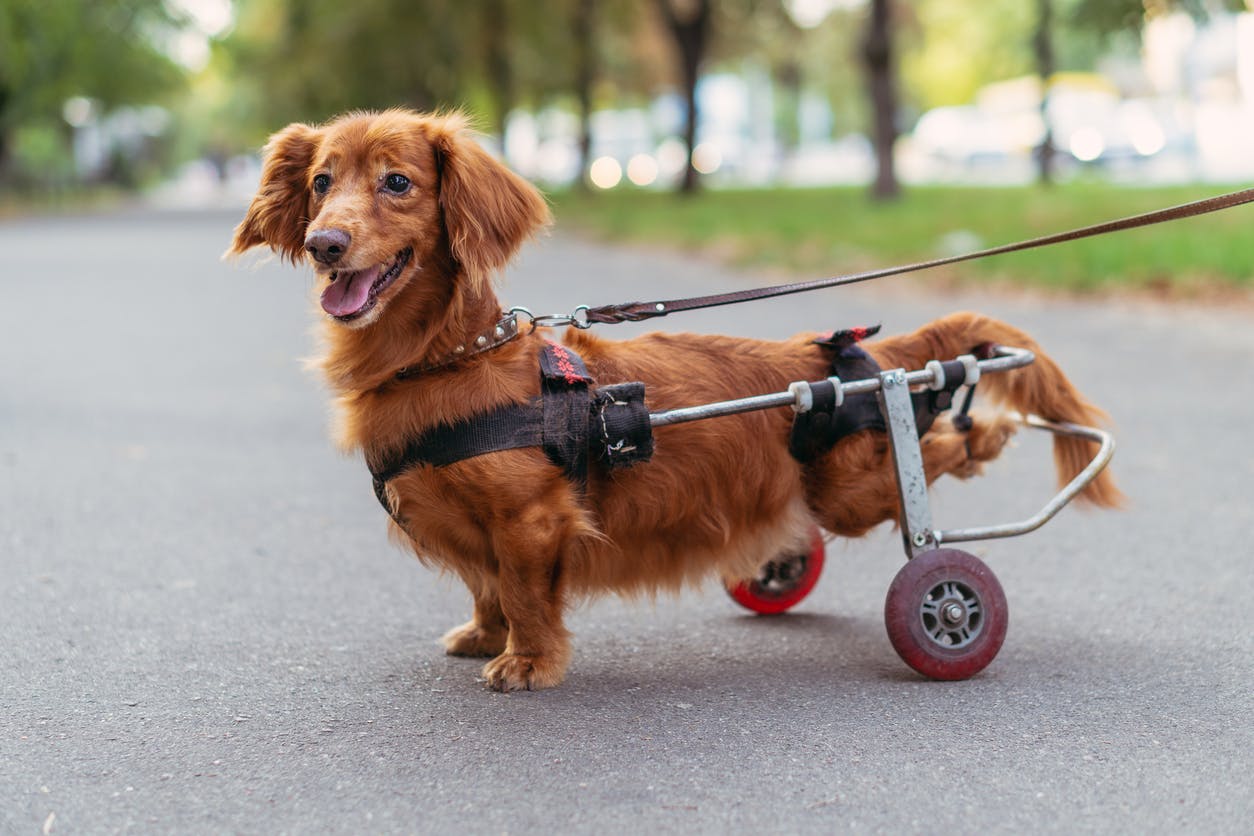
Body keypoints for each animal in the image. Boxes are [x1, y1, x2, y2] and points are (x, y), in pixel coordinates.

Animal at [230, 106, 1123, 691]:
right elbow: (484, 586)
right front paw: (485, 635)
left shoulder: (530, 521)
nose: (325, 244)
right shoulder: (476, 528)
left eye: (397, 183)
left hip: (851, 484)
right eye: (321, 183)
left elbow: (521, 590)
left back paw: (985, 439)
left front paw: (529, 660)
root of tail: (840, 351)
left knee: (938, 452)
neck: (446, 360)